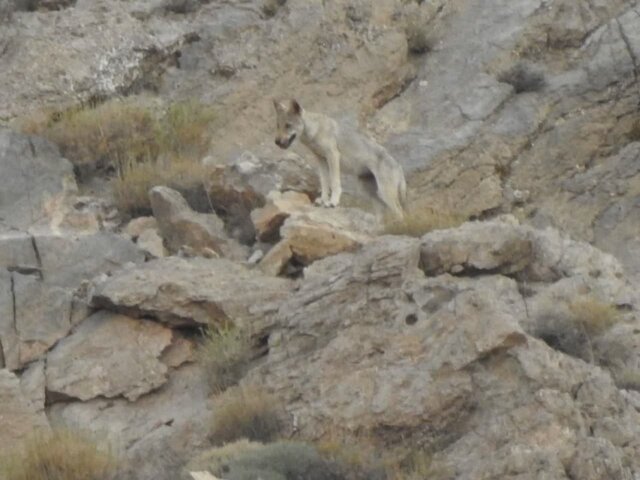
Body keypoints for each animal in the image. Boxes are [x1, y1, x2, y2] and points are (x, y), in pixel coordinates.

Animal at [272, 98, 408, 218]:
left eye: (288, 125)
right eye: (278, 125)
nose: (276, 142)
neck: (315, 130)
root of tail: (399, 165)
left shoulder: (333, 156)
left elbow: (334, 183)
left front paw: (333, 202)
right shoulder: (321, 160)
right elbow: (324, 183)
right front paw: (323, 201)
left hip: (385, 194)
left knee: (400, 212)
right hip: (369, 193)